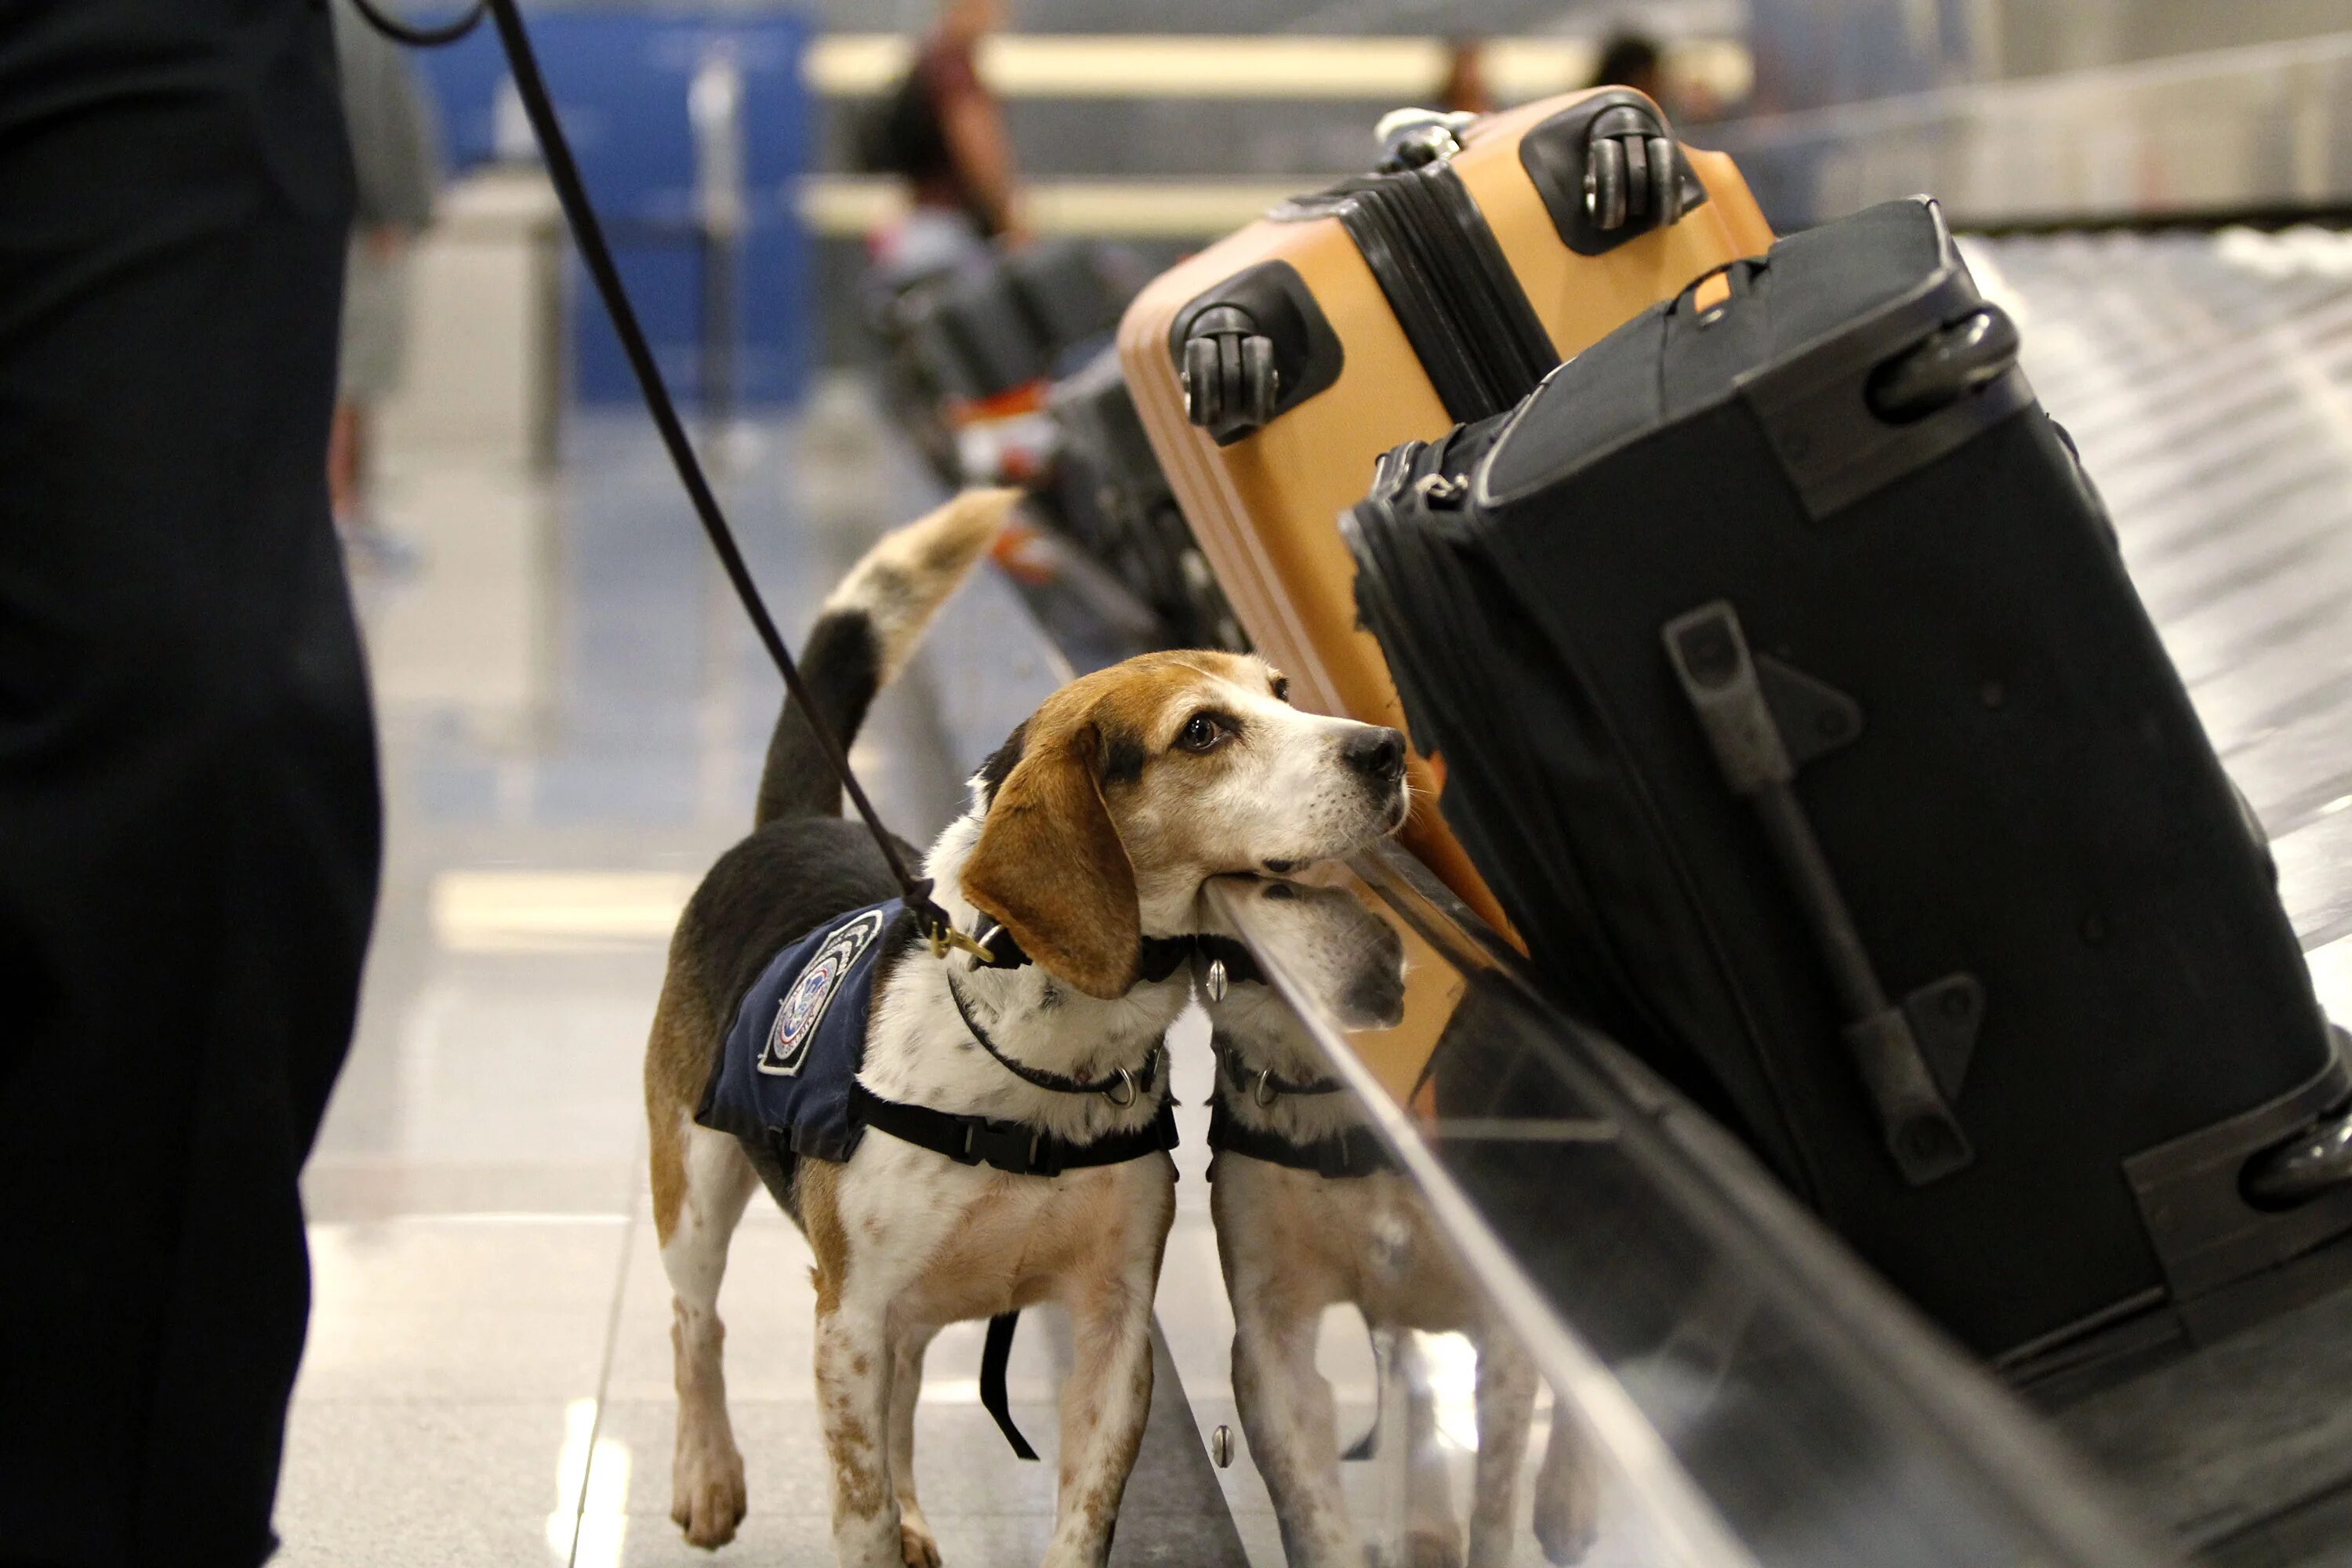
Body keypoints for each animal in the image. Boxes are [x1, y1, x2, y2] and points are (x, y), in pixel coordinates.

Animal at [644, 493, 1402, 1568]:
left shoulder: (1112, 1325)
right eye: (1202, 731)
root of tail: (790, 824)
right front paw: (863, 1522)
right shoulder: (849, 1321)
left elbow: (1080, 1512)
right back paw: (707, 1473)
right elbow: (858, 1509)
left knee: (902, 1403)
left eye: (1283, 690)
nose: (1386, 747)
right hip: (696, 1182)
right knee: (693, 1323)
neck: (1033, 1062)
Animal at [1195, 884, 1599, 1568]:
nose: (1384, 954)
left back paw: (1568, 1503)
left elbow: (1494, 1509)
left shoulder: (1503, 1324)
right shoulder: (1272, 1331)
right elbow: (1313, 1510)